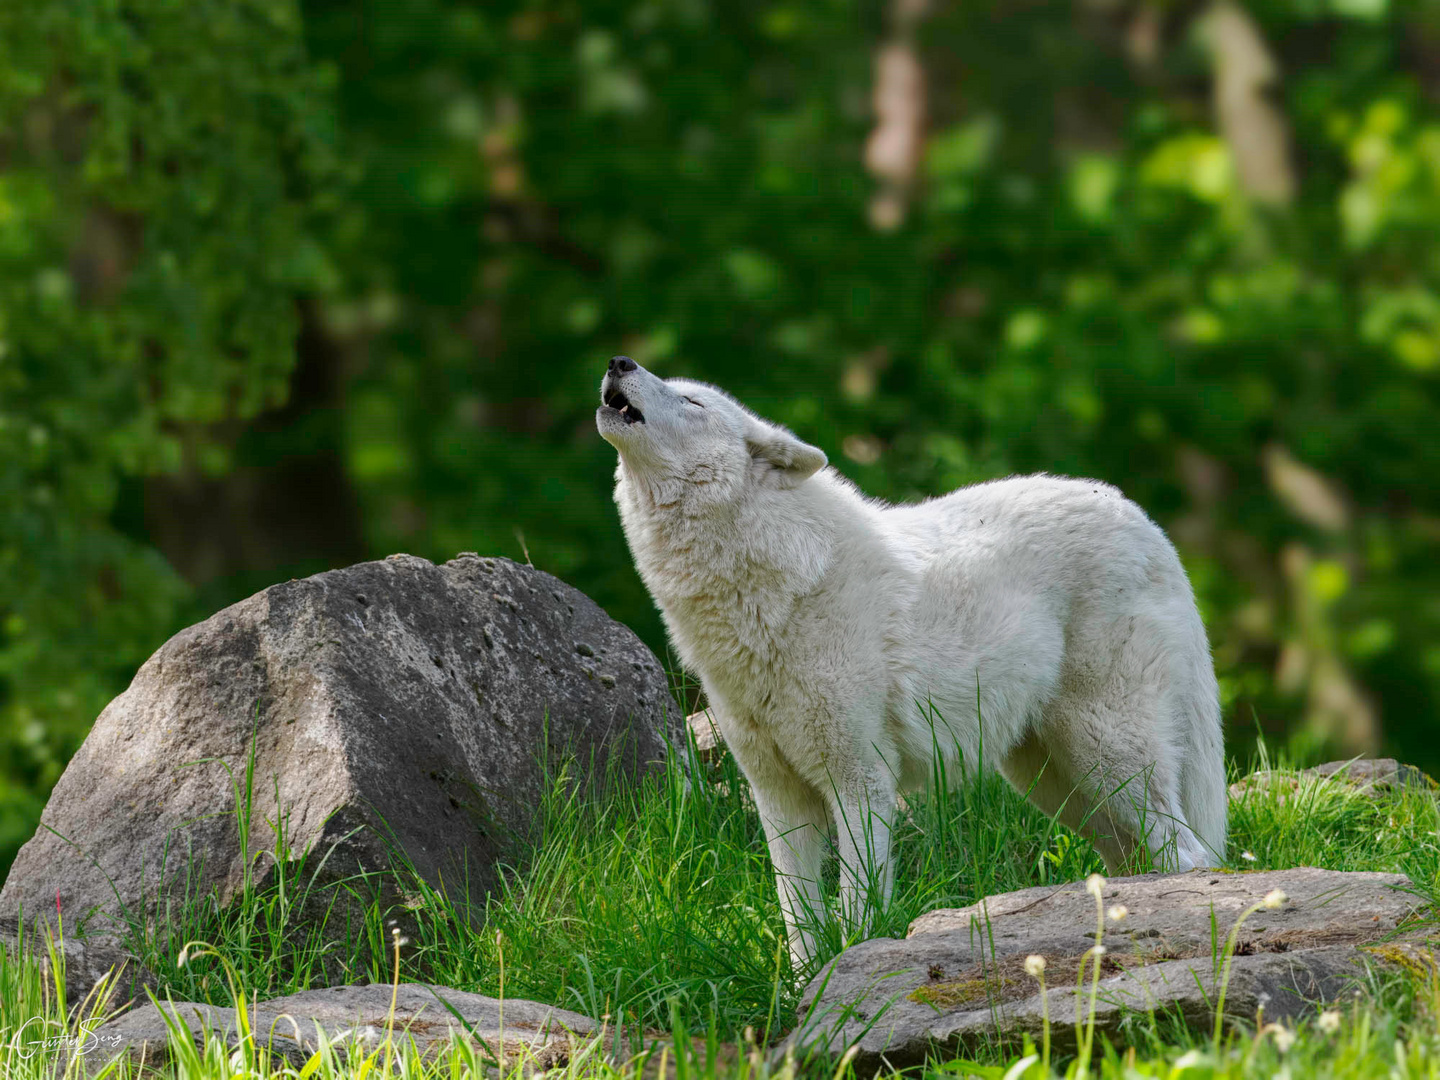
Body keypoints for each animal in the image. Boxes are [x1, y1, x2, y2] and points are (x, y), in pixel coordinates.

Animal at [590, 357, 1221, 973]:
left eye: (691, 401)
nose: (619, 361)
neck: (775, 586)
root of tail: (1146, 524)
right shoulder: (778, 796)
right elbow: (797, 917)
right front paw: (800, 988)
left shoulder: (860, 779)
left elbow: (858, 901)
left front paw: (852, 963)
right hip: (1058, 783)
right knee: (1142, 857)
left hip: (1107, 754)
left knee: (1187, 854)